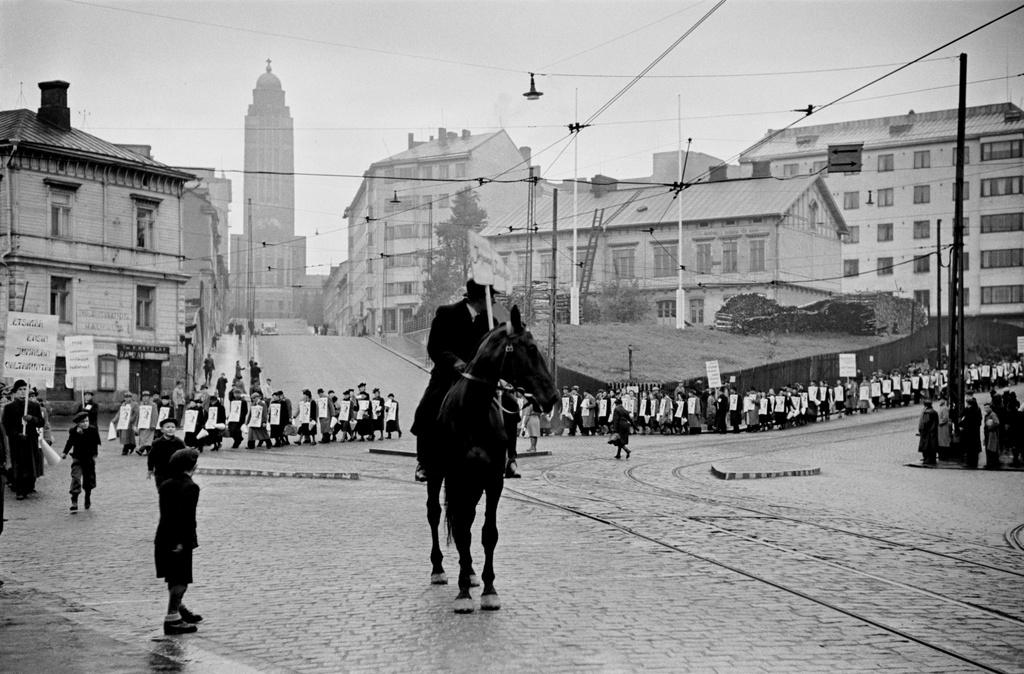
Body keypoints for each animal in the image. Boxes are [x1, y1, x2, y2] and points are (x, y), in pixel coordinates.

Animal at [430, 307, 561, 610]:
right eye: (532, 348)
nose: (552, 397)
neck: (473, 412)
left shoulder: (492, 481)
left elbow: (487, 532)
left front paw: (488, 589)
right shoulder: (456, 478)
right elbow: (462, 531)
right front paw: (463, 593)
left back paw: (469, 573)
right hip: (437, 474)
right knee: (435, 513)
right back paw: (439, 569)